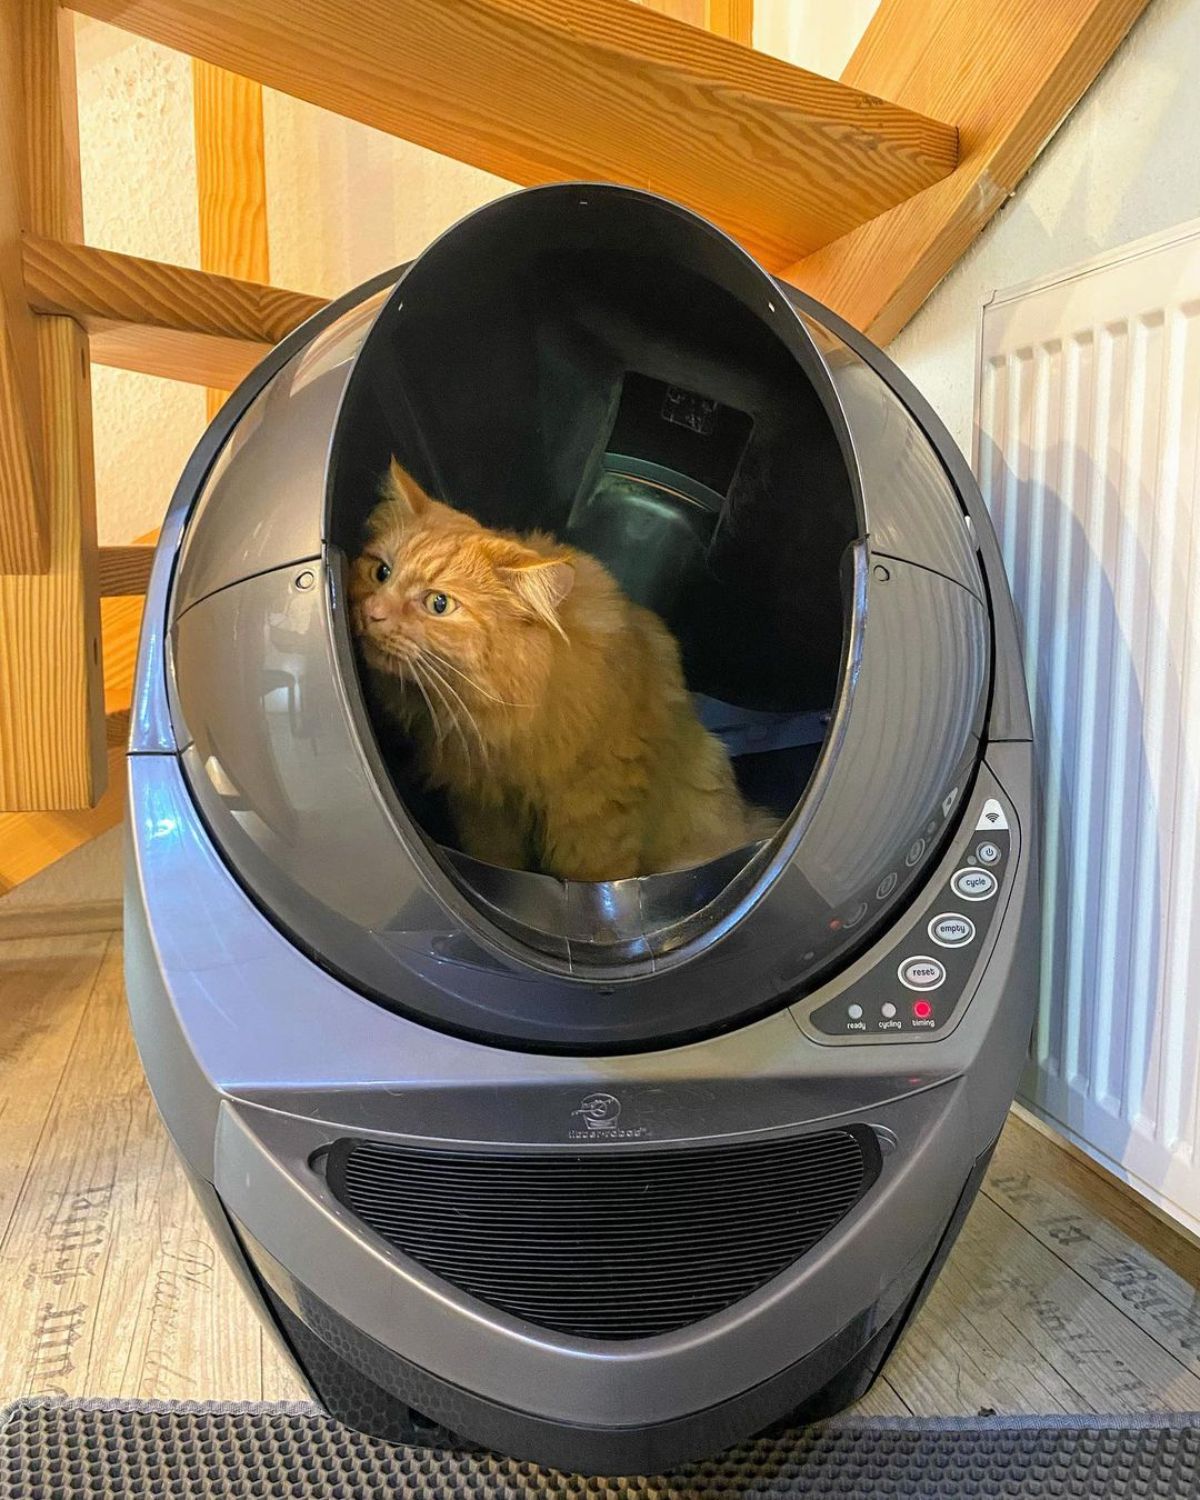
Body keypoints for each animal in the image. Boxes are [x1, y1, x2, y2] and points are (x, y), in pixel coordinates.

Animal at [351, 456, 774, 876]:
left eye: (438, 604)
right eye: (381, 572)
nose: (372, 613)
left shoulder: (593, 813)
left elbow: (596, 874)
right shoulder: (483, 808)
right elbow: (495, 858)